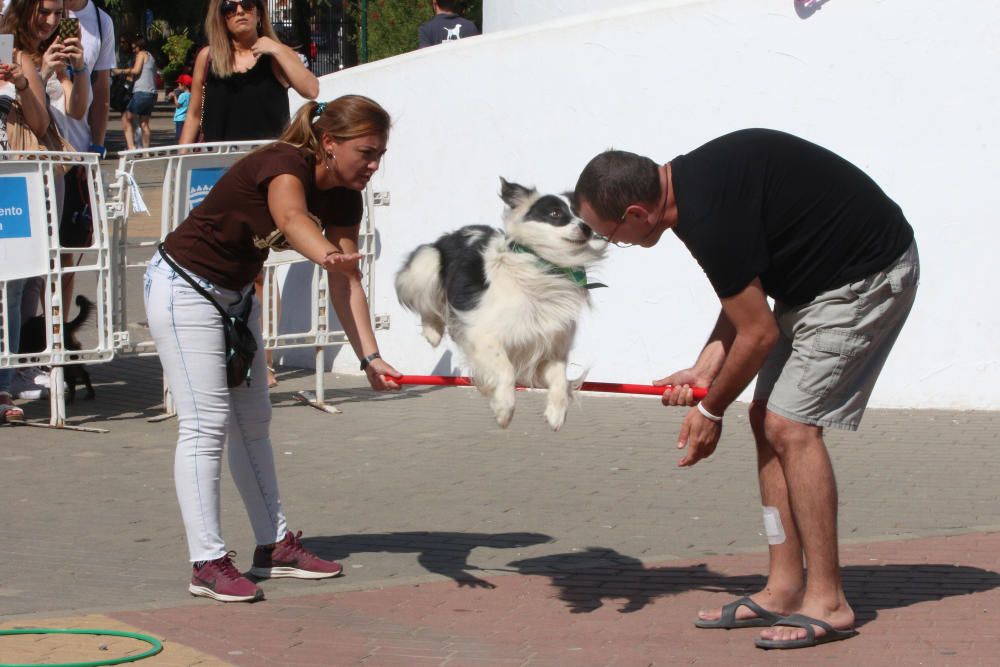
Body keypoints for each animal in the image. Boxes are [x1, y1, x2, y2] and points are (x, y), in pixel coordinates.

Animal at [394, 177, 604, 430]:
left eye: (581, 214)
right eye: (555, 213)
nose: (587, 228)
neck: (546, 267)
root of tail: (455, 233)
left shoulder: (548, 346)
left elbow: (560, 379)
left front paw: (556, 414)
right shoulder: (483, 334)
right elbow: (506, 370)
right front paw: (503, 409)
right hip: (426, 264)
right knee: (429, 303)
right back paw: (432, 332)